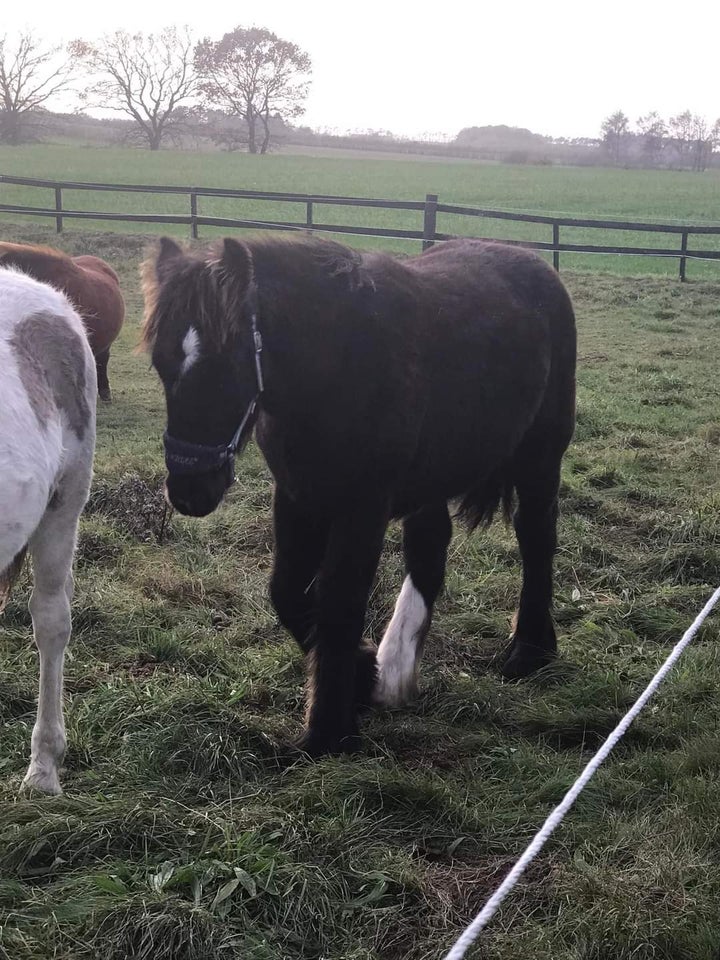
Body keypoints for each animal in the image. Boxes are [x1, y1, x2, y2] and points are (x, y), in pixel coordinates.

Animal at [143, 234, 576, 756]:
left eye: (230, 365)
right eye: (161, 363)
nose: (189, 490)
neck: (340, 367)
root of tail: (533, 262)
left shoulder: (362, 509)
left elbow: (340, 601)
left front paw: (327, 731)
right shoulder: (298, 498)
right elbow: (286, 591)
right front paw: (365, 675)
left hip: (539, 459)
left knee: (536, 538)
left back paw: (530, 650)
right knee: (430, 547)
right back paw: (396, 667)